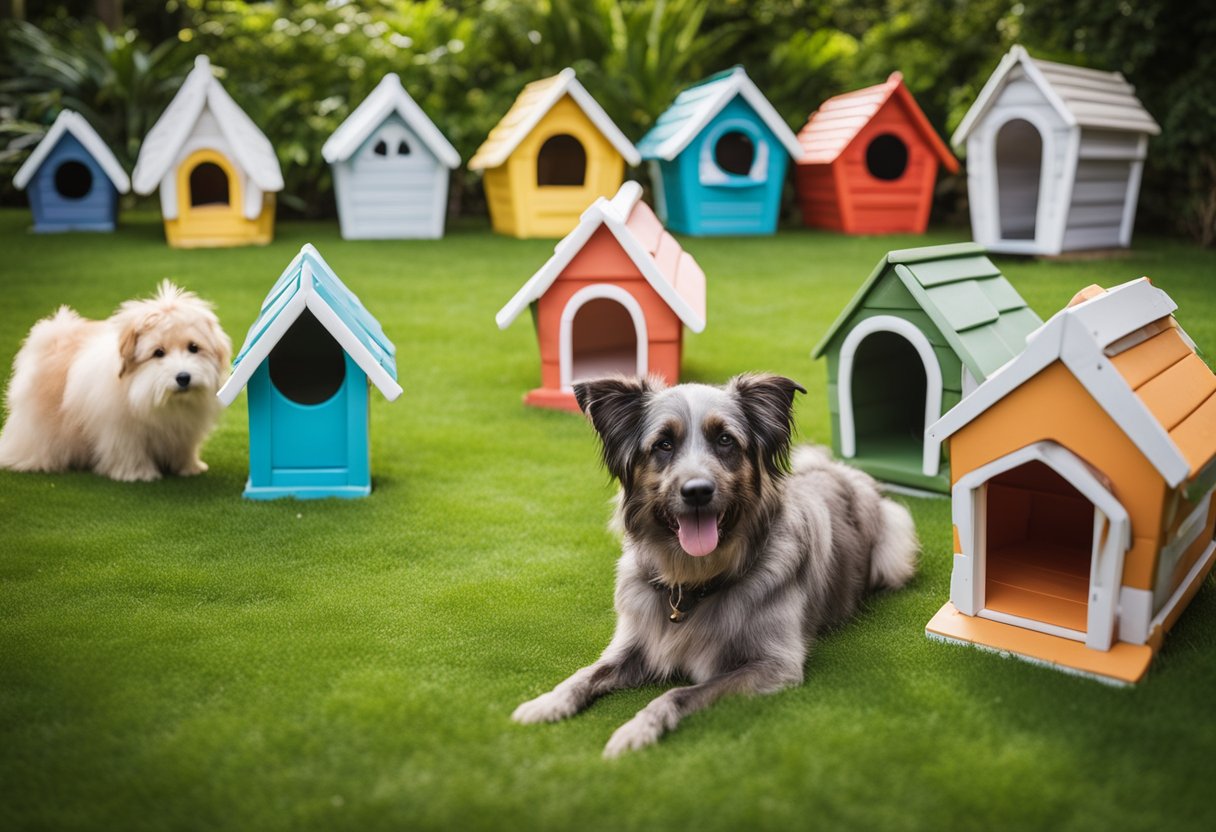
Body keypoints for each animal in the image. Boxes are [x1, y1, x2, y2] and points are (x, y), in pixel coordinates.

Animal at [0, 279, 232, 481]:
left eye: (193, 347)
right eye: (158, 353)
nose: (183, 377)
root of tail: (55, 335)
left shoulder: (184, 430)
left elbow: (184, 448)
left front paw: (189, 468)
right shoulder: (121, 429)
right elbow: (129, 450)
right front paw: (138, 474)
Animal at [508, 374, 914, 759]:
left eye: (725, 441)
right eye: (664, 444)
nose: (697, 491)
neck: (693, 582)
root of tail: (836, 468)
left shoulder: (773, 666)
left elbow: (676, 694)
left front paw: (635, 730)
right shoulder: (633, 643)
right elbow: (586, 673)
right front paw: (546, 702)